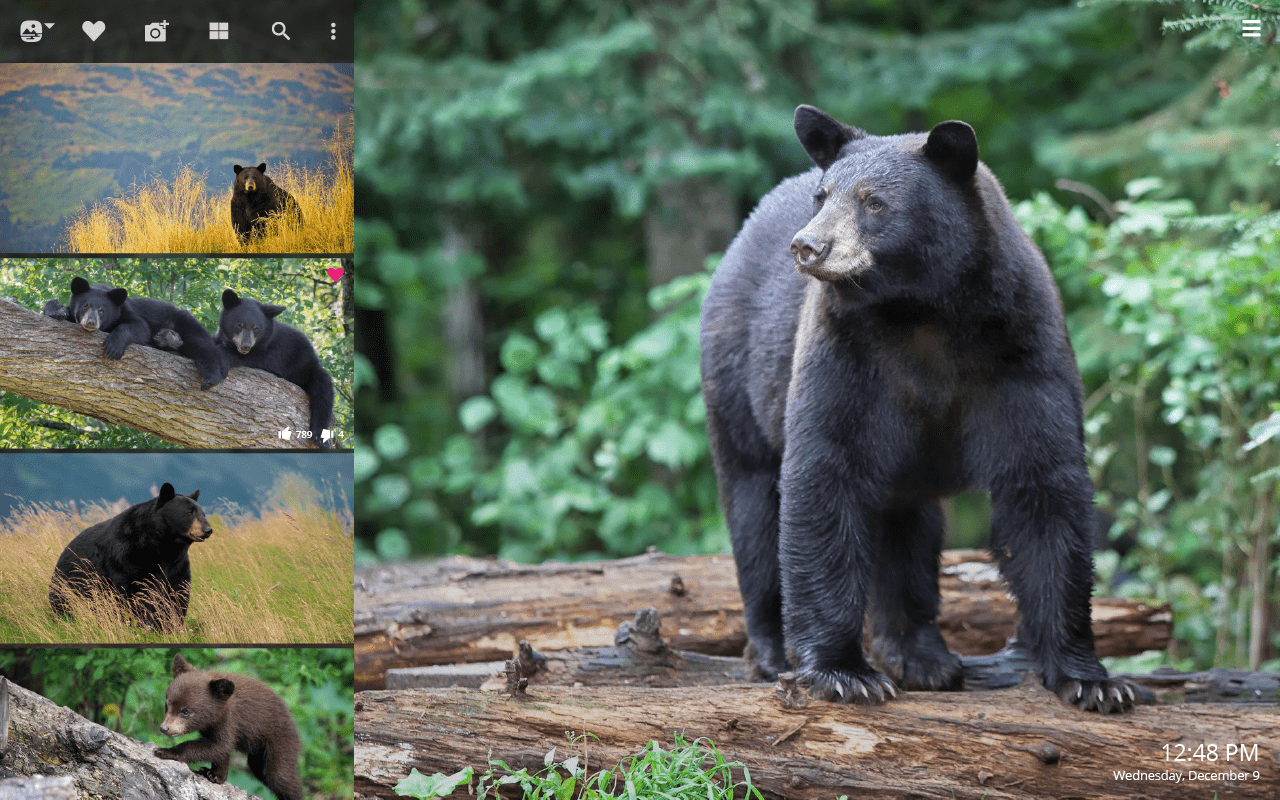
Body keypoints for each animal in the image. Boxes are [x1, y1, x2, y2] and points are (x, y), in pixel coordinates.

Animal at [45, 277, 228, 389]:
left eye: (102, 310)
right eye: (85, 306)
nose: (91, 322)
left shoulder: (127, 310)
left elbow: (140, 327)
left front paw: (113, 347)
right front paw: (57, 311)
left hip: (187, 324)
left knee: (203, 348)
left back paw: (211, 378)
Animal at [48, 483, 211, 631]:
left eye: (203, 513)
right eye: (189, 512)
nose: (208, 529)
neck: (163, 544)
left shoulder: (177, 564)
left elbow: (177, 594)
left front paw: (170, 627)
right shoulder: (129, 556)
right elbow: (135, 593)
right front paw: (140, 625)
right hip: (69, 584)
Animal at [154, 653, 303, 800]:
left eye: (185, 711)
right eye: (167, 704)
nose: (164, 728)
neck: (216, 714)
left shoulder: (230, 720)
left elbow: (220, 745)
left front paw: (165, 751)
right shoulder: (212, 727)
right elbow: (221, 750)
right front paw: (214, 774)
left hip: (280, 741)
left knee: (280, 776)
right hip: (259, 753)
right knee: (259, 768)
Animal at [216, 288, 334, 448]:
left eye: (256, 328)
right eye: (239, 325)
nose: (245, 346)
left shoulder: (269, 353)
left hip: (308, 369)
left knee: (324, 392)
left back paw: (319, 436)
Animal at [699, 105, 1136, 713]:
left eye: (874, 202)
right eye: (822, 195)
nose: (808, 246)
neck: (922, 311)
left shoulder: (1022, 349)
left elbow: (1043, 485)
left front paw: (1091, 679)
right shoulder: (846, 354)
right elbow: (824, 474)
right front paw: (842, 672)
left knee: (907, 528)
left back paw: (921, 656)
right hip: (738, 376)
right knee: (754, 504)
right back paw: (771, 650)